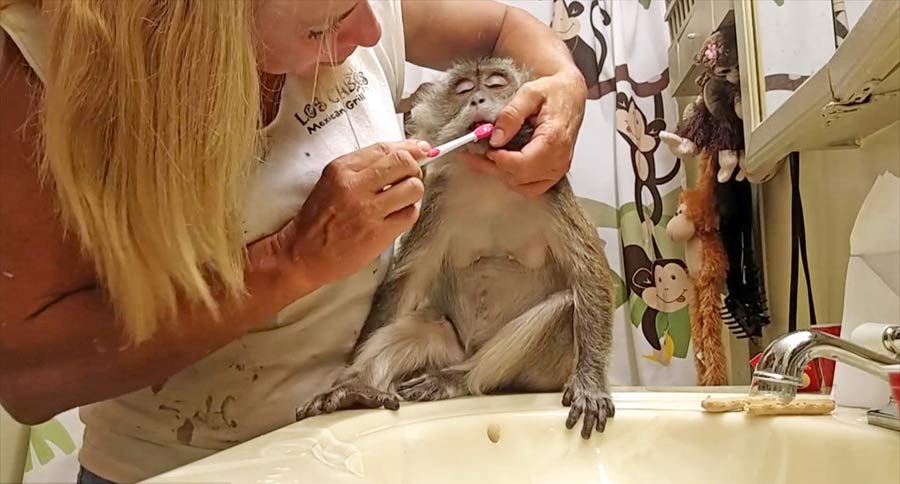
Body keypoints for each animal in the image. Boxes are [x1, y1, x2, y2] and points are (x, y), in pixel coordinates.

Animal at [295, 57, 616, 439]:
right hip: (449, 345)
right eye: (463, 89)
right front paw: (349, 381)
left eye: (495, 83)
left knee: (565, 307)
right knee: (425, 325)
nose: (477, 99)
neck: (490, 176)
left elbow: (589, 274)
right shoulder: (437, 200)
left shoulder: (551, 191)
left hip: (547, 370)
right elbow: (406, 283)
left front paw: (590, 384)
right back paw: (358, 387)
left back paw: (457, 379)